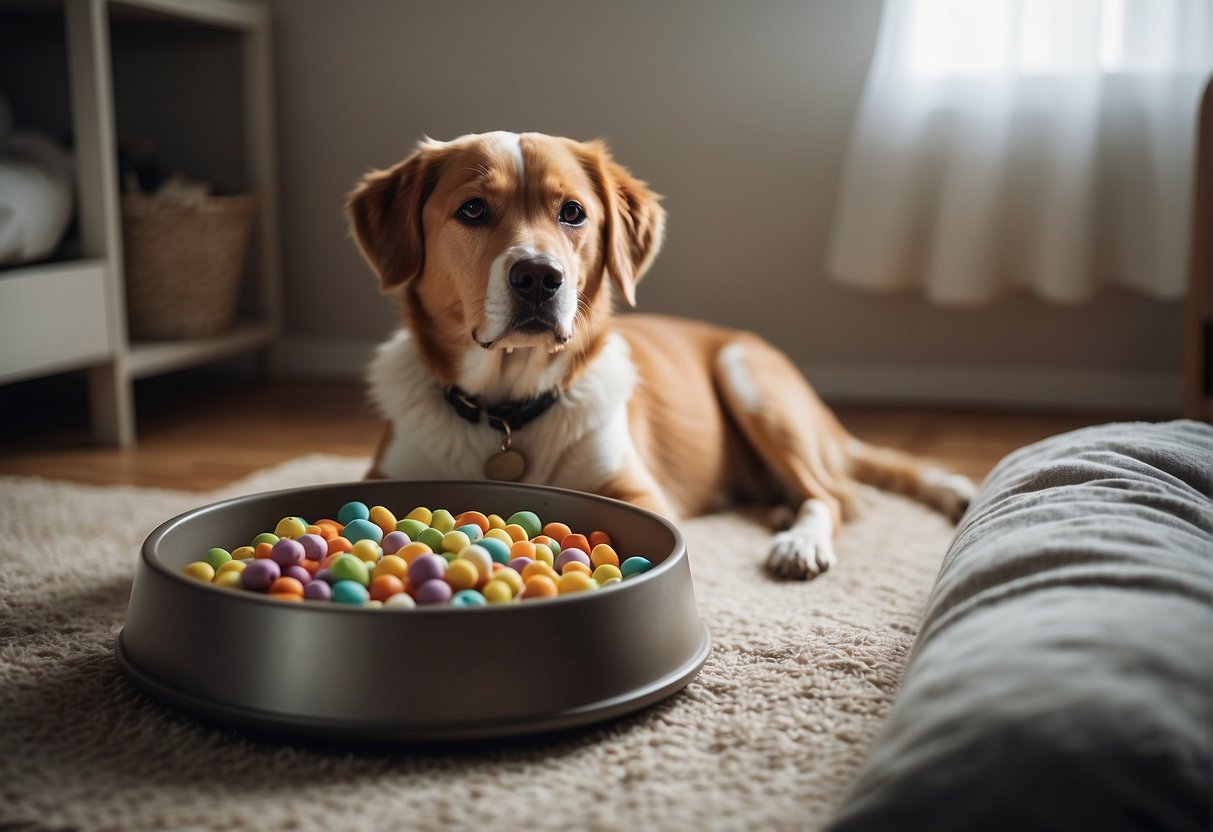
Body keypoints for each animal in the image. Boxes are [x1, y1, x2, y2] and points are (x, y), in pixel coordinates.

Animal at [346, 132, 970, 579]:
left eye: (572, 213)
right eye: (473, 210)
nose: (539, 277)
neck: (507, 408)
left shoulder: (640, 491)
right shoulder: (386, 473)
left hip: (748, 378)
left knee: (834, 495)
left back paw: (798, 539)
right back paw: (779, 511)